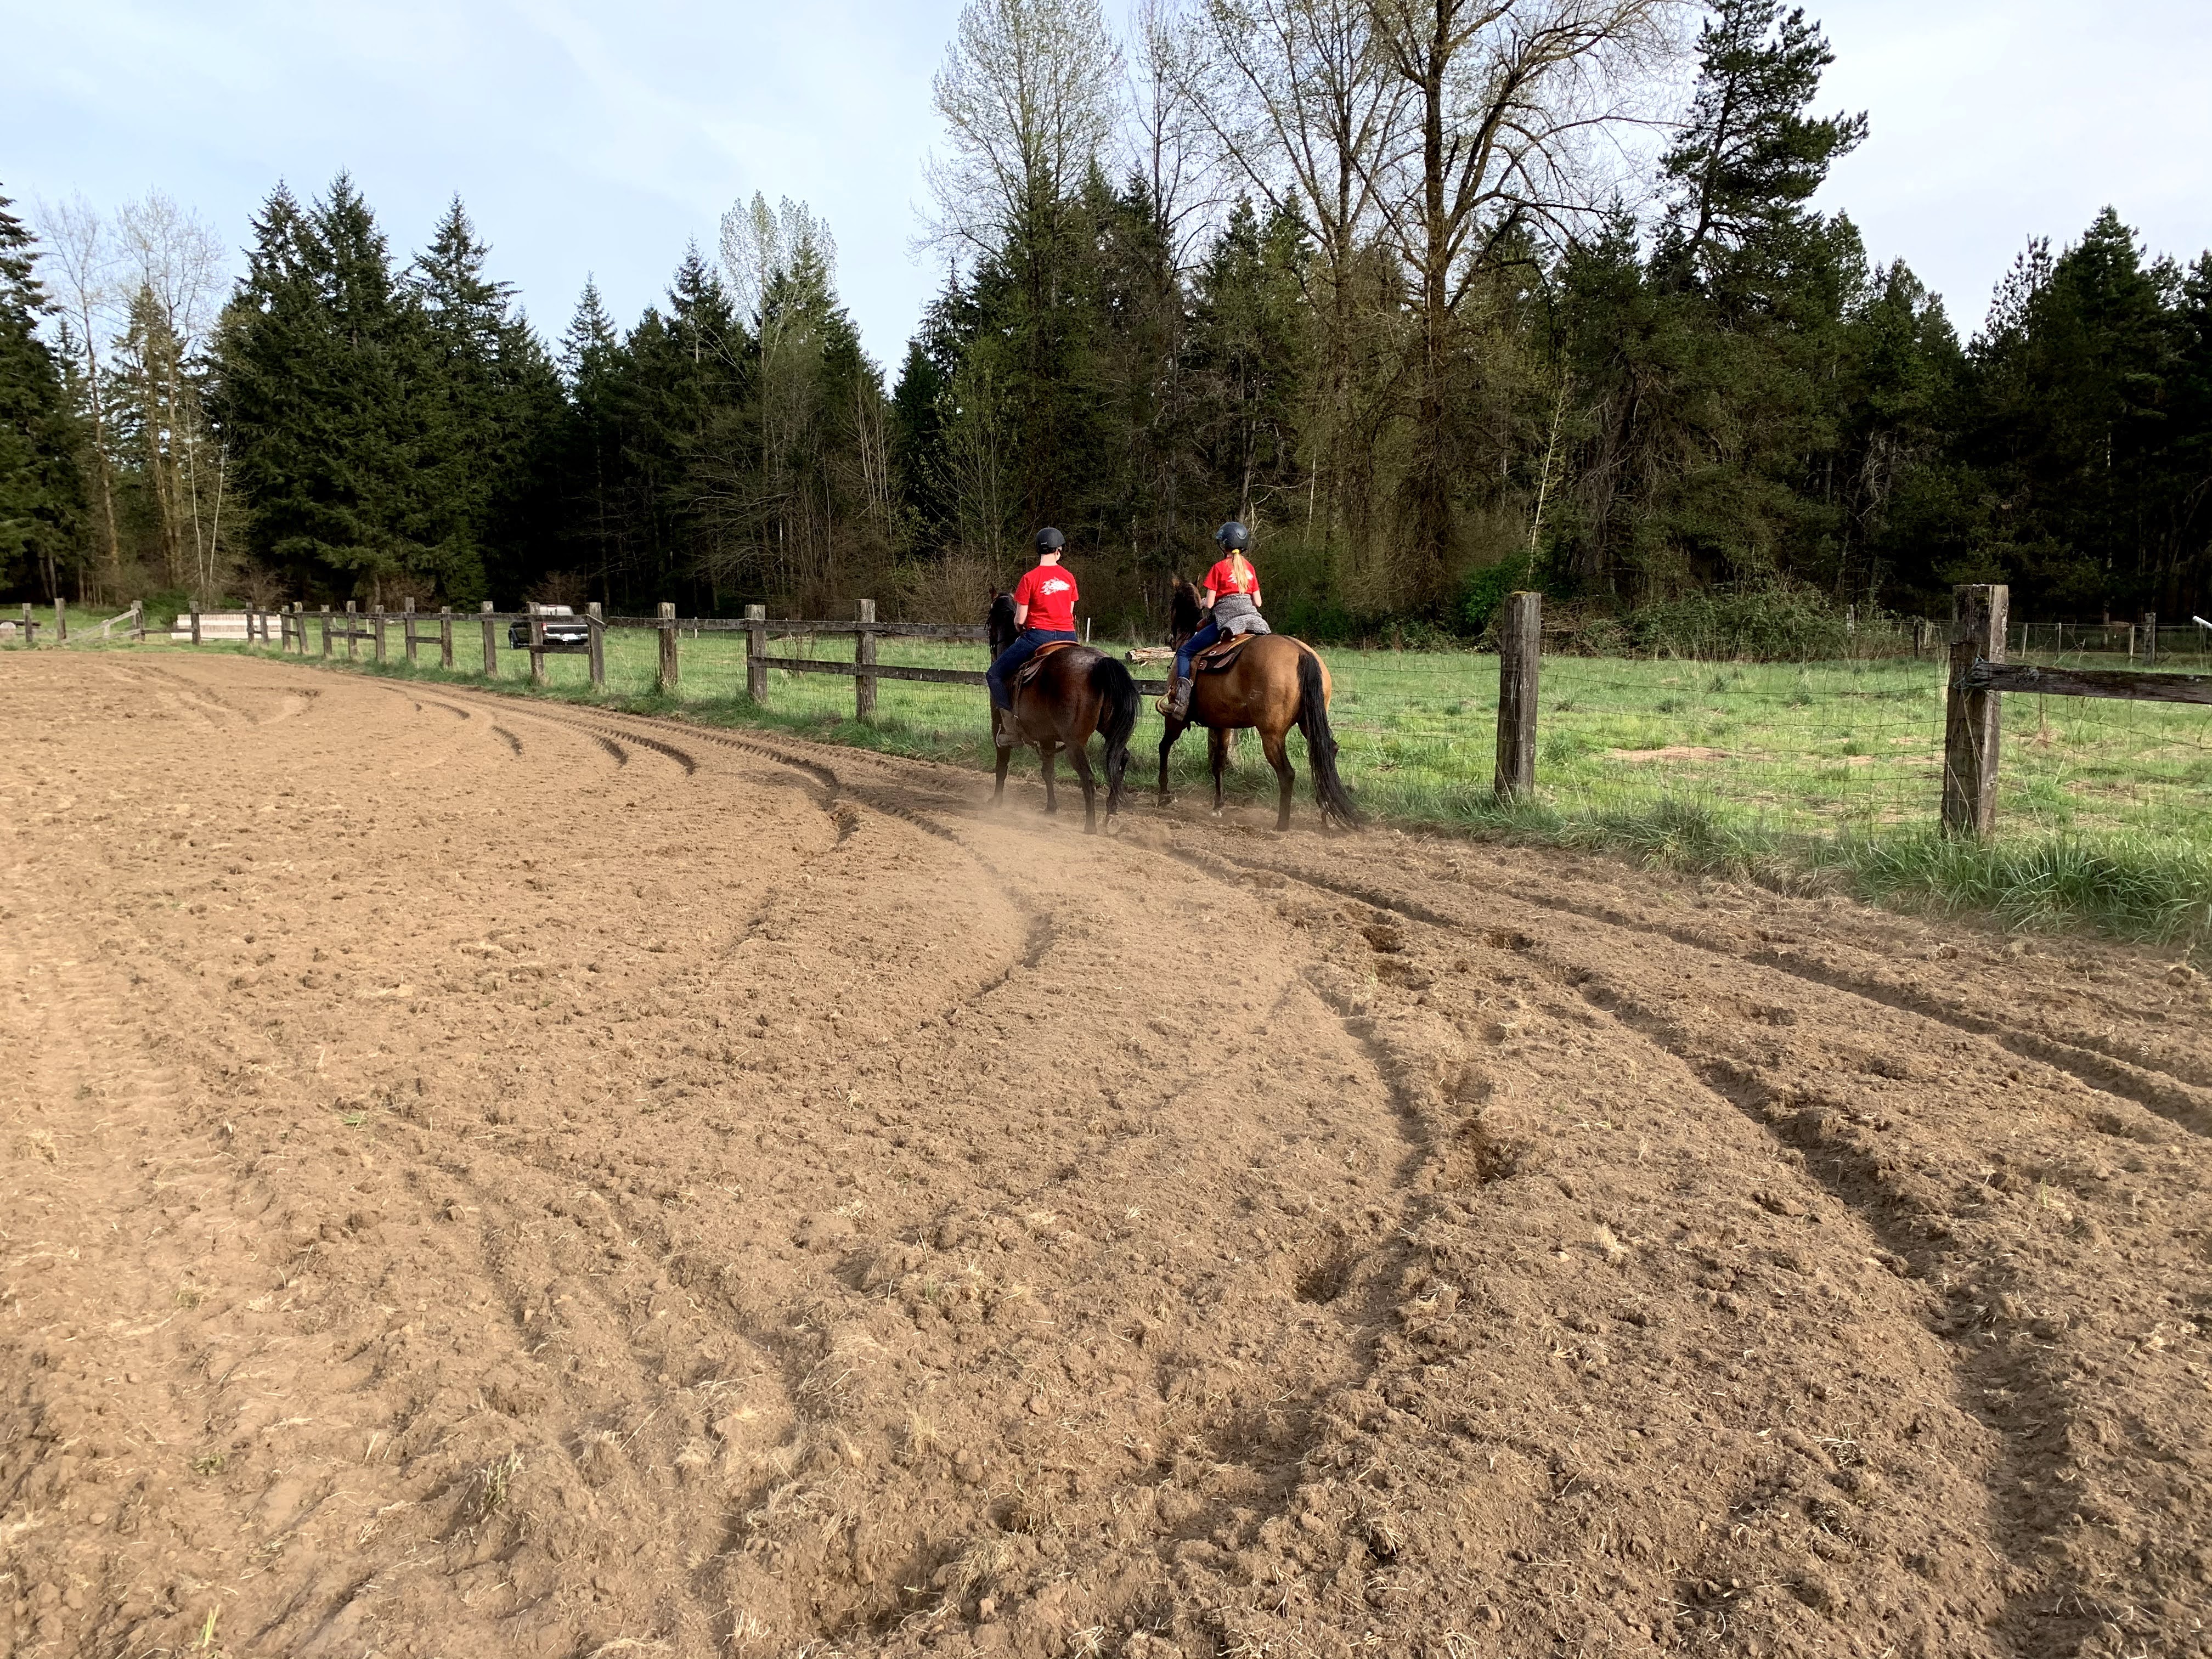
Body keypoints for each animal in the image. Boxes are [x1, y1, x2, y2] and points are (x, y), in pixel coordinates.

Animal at [986, 593, 1139, 833]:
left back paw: (1090, 826)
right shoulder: (1047, 737)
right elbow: (1048, 772)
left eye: (990, 616)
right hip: (1110, 730)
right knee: (1120, 760)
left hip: (1074, 743)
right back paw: (1111, 813)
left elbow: (1002, 766)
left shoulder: (999, 728)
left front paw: (996, 802)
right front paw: (1051, 808)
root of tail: (1099, 663)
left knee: (1088, 778)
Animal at [1157, 580, 1359, 831]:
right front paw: (1218, 806)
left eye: (1172, 606)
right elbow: (1219, 762)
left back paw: (1282, 824)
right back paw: (1325, 815)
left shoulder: (1175, 718)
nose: (1169, 639)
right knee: (1325, 753)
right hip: (1309, 725)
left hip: (1271, 734)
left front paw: (1164, 795)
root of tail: (1302, 653)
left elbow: (1164, 748)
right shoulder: (1221, 724)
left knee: (1287, 773)